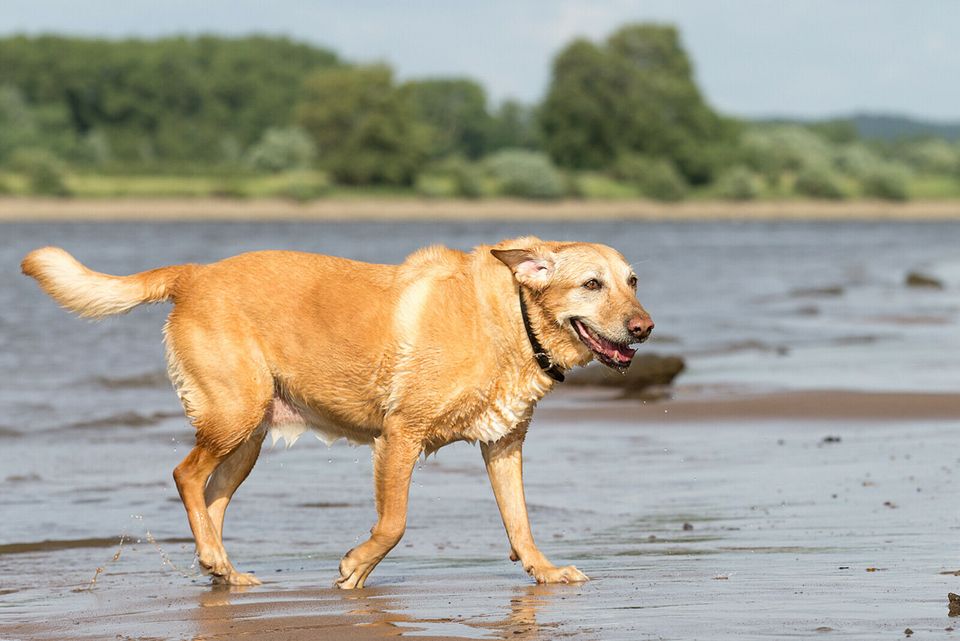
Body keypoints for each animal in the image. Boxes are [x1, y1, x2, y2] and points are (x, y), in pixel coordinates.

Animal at [22, 238, 652, 588]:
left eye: (632, 280)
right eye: (592, 284)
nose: (645, 328)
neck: (512, 318)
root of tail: (192, 273)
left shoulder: (503, 444)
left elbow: (520, 522)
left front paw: (544, 572)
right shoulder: (400, 435)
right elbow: (394, 523)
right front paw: (356, 568)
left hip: (248, 439)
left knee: (212, 495)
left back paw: (223, 570)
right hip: (234, 414)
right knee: (184, 475)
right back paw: (216, 562)